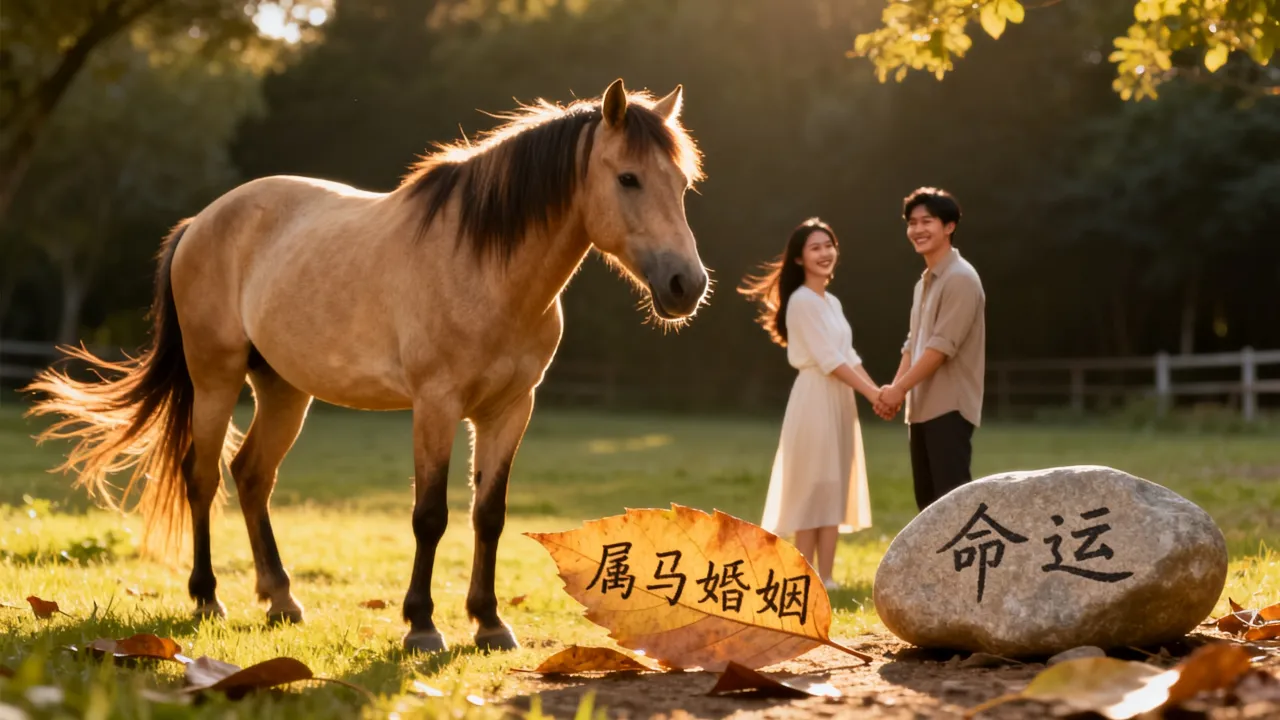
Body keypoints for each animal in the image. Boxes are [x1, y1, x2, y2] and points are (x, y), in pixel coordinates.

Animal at [25, 79, 708, 653]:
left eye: (681, 185)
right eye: (628, 178)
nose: (687, 285)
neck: (485, 265)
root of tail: (202, 221)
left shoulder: (510, 409)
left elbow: (488, 515)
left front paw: (489, 624)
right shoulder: (436, 405)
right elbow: (430, 516)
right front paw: (422, 626)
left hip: (283, 390)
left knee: (251, 476)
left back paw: (281, 599)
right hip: (215, 377)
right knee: (202, 477)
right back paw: (208, 598)